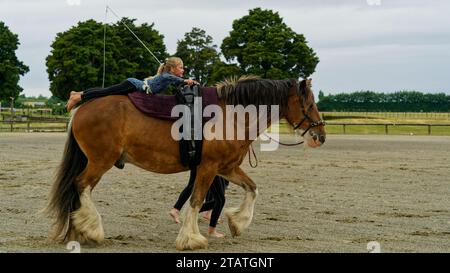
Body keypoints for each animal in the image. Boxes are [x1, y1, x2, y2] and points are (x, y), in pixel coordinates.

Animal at [45, 75, 326, 250]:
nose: (320, 136)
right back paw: (91, 229)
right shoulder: (208, 168)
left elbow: (252, 189)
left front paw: (237, 222)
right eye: (310, 103)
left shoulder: (227, 168)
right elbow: (196, 200)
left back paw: (77, 231)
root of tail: (82, 109)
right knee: (81, 185)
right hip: (100, 161)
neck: (230, 115)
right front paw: (191, 239)